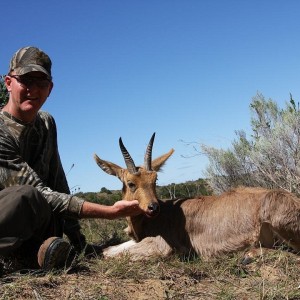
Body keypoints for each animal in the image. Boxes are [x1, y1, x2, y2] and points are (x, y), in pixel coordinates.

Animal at [94, 134, 300, 260]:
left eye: (155, 179)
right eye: (131, 183)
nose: (153, 207)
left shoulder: (163, 245)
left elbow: (109, 253)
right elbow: (109, 249)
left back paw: (248, 256)